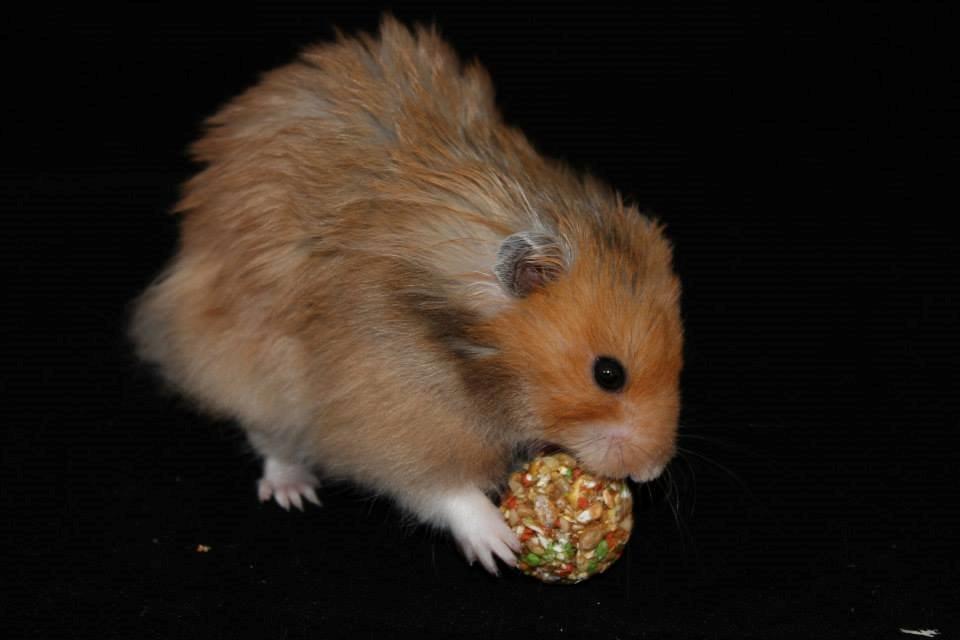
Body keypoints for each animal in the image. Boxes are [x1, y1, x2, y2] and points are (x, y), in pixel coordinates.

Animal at [130, 17, 683, 574]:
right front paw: (500, 546)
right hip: (244, 365)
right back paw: (294, 492)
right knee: (268, 434)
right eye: (608, 374)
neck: (475, 362)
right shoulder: (386, 414)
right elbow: (440, 487)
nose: (652, 472)